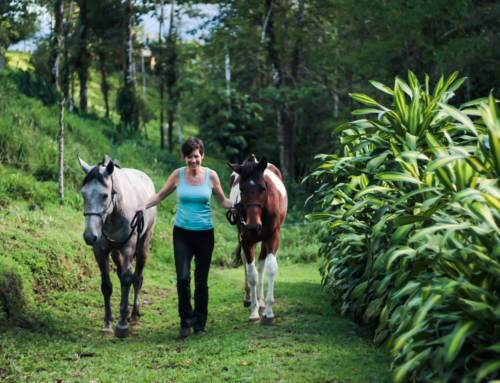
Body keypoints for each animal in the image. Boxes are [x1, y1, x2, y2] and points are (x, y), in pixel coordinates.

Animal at [78, 154, 156, 338]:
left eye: (105, 195)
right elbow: (107, 286)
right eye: (83, 194)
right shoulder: (100, 251)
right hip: (115, 252)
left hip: (143, 244)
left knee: (137, 278)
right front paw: (108, 325)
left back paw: (134, 317)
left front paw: (122, 325)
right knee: (121, 274)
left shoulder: (128, 246)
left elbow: (128, 279)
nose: (89, 235)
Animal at [229, 154, 288, 326]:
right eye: (241, 189)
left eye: (263, 188)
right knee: (248, 262)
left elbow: (270, 268)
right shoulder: (246, 239)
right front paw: (254, 312)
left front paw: (268, 312)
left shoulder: (273, 236)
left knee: (262, 264)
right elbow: (252, 275)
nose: (254, 227)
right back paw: (250, 298)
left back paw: (261, 302)